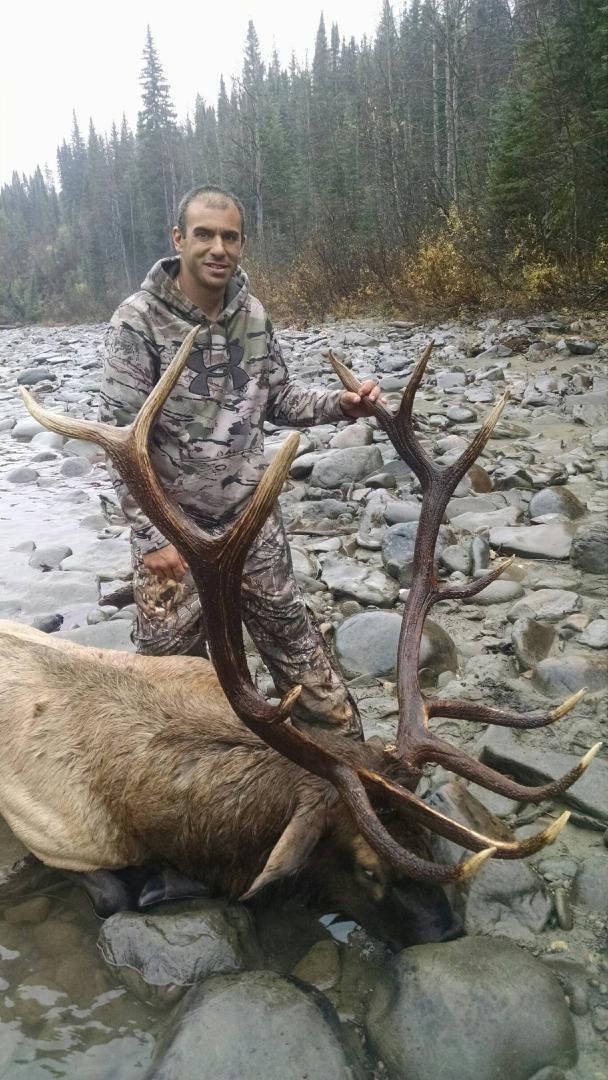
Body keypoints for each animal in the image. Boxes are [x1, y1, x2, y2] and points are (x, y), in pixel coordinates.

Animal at [0, 328, 599, 947]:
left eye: (427, 838)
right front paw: (161, 885)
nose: (449, 932)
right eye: (368, 869)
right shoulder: (53, 838)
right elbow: (115, 894)